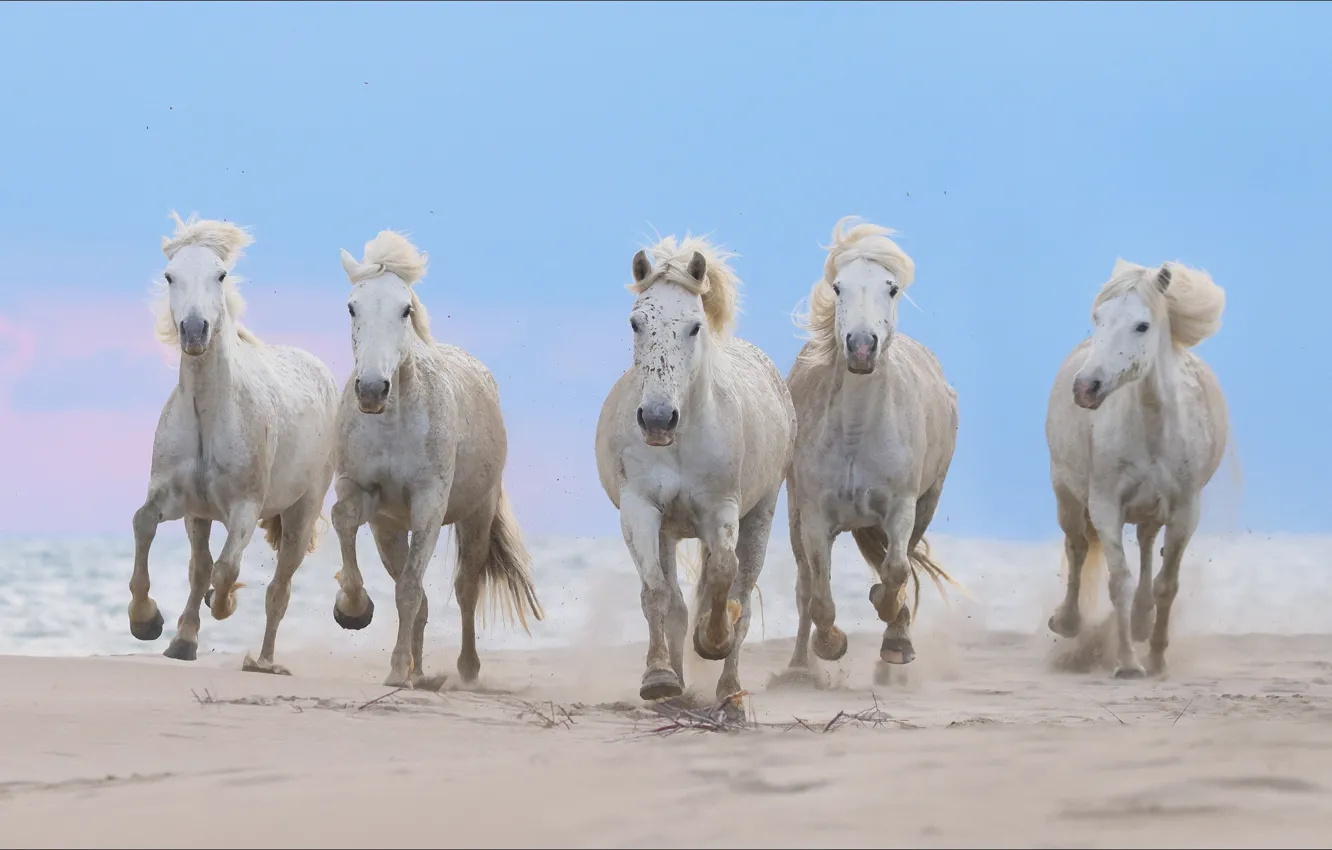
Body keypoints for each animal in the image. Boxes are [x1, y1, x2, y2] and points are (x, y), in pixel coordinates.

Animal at [128, 212, 339, 674]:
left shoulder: (244, 507)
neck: (209, 415)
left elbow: (226, 570)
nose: (193, 331)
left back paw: (263, 660)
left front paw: (222, 605)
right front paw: (148, 622)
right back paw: (185, 639)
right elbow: (147, 526)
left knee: (279, 588)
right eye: (170, 276)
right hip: (202, 516)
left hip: (301, 511)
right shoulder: (181, 501)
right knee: (201, 568)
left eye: (220, 274)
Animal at [329, 230, 543, 689]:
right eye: (352, 306)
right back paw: (420, 669)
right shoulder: (362, 491)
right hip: (390, 529)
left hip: (477, 515)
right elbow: (343, 521)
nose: (371, 390)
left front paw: (395, 672)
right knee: (422, 599)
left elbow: (411, 588)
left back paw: (465, 670)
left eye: (405, 309)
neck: (394, 421)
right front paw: (353, 610)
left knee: (465, 589)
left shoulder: (429, 501)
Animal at [595, 234, 795, 712]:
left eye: (694, 326)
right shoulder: (641, 509)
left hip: (760, 514)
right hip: (668, 530)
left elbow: (724, 572)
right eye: (636, 323)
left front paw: (713, 640)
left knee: (741, 596)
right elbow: (657, 593)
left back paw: (730, 694)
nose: (656, 419)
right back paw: (677, 689)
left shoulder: (721, 509)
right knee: (677, 605)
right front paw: (658, 679)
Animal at [784, 216, 959, 685]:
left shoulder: (902, 507)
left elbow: (896, 570)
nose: (861, 346)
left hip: (928, 501)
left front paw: (895, 638)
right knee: (804, 585)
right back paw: (797, 667)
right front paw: (829, 645)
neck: (857, 433)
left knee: (902, 562)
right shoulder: (814, 517)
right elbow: (820, 594)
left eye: (891, 287)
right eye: (838, 287)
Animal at [1046, 258, 1228, 678]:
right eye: (1098, 318)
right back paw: (1068, 622)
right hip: (1066, 494)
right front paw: (1128, 664)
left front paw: (1157, 659)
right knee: (1077, 548)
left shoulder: (1184, 512)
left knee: (1146, 548)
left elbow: (1166, 584)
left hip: (1150, 511)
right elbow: (1119, 584)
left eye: (1142, 325)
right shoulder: (1105, 506)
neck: (1152, 424)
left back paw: (1143, 622)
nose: (1085, 388)